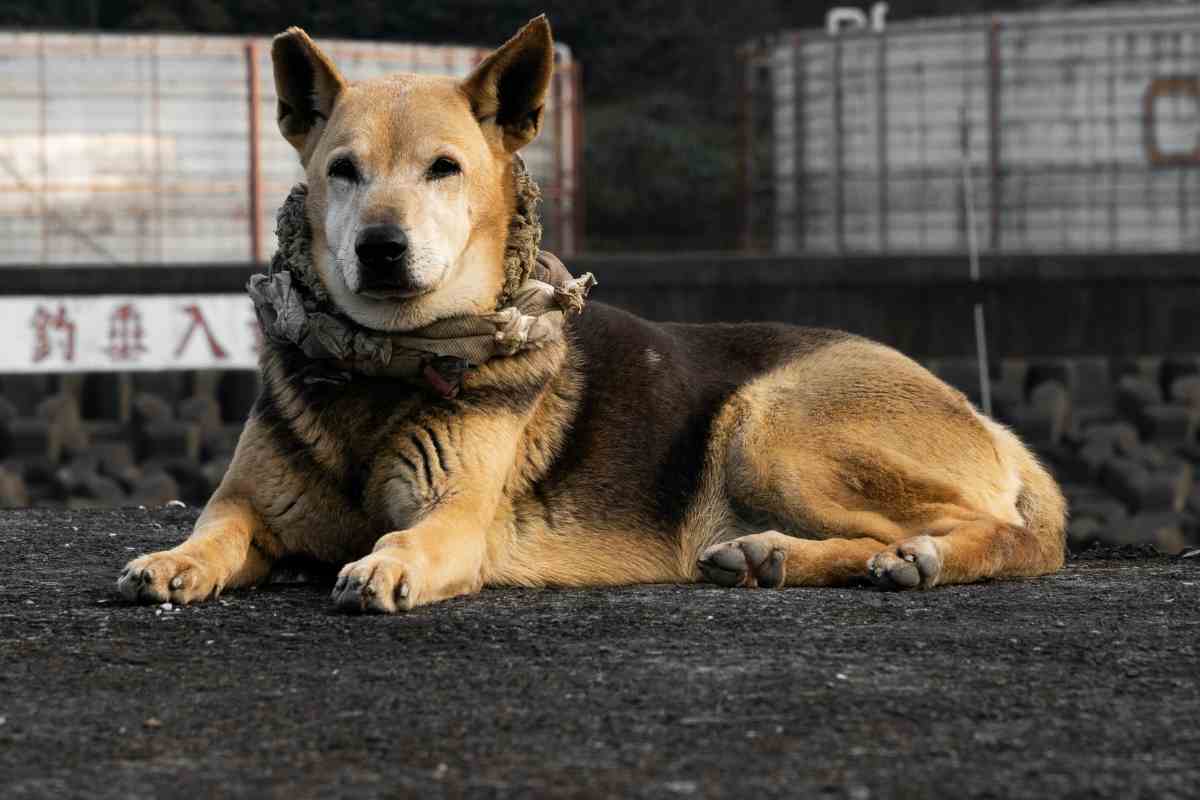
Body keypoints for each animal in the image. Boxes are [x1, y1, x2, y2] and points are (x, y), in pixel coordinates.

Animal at [117, 15, 1065, 614]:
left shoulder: (458, 515)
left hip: (770, 424)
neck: (383, 364)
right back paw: (770, 558)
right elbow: (213, 530)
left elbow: (414, 542)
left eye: (444, 169)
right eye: (342, 170)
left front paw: (385, 565)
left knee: (1002, 532)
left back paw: (910, 558)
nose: (381, 248)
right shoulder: (249, 503)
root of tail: (986, 422)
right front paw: (173, 560)